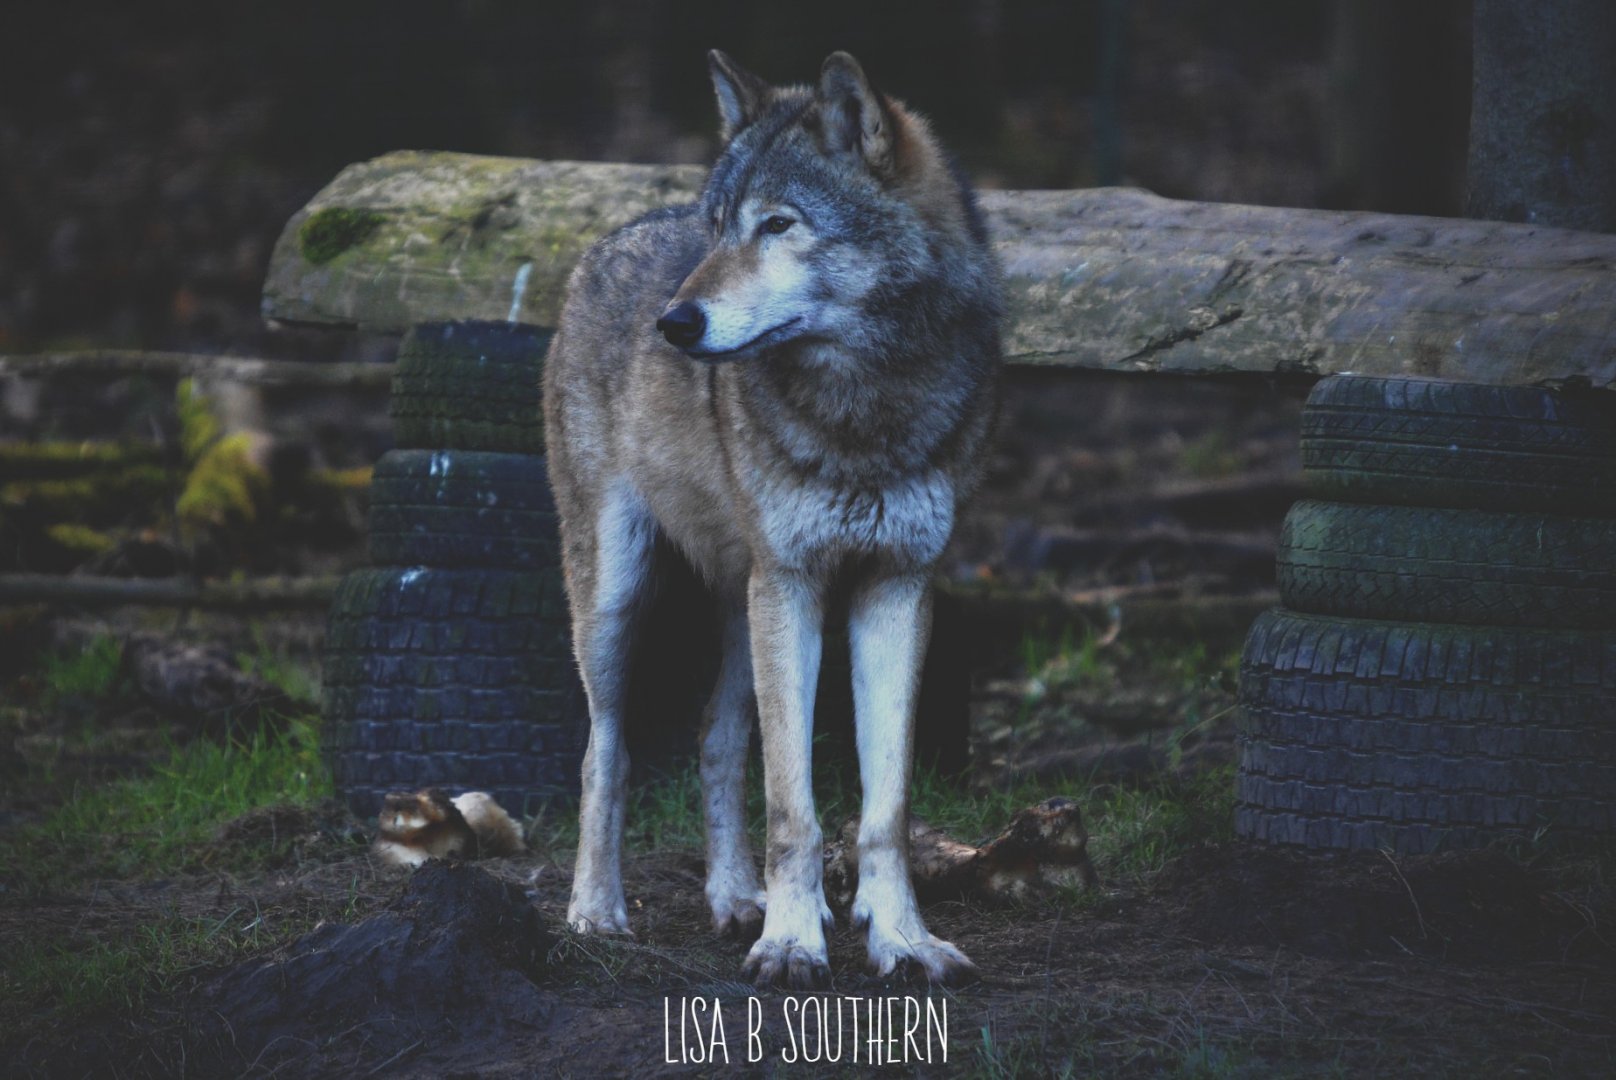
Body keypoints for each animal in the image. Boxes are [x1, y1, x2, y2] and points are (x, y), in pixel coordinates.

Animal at [543, 49, 1002, 987]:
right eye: (720, 227)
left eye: (779, 225)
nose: (674, 323)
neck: (867, 408)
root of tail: (607, 239)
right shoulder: (792, 583)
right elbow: (793, 806)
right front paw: (793, 944)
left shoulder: (896, 588)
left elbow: (884, 810)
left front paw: (901, 938)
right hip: (618, 600)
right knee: (604, 750)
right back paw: (597, 911)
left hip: (743, 605)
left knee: (717, 742)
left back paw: (734, 899)